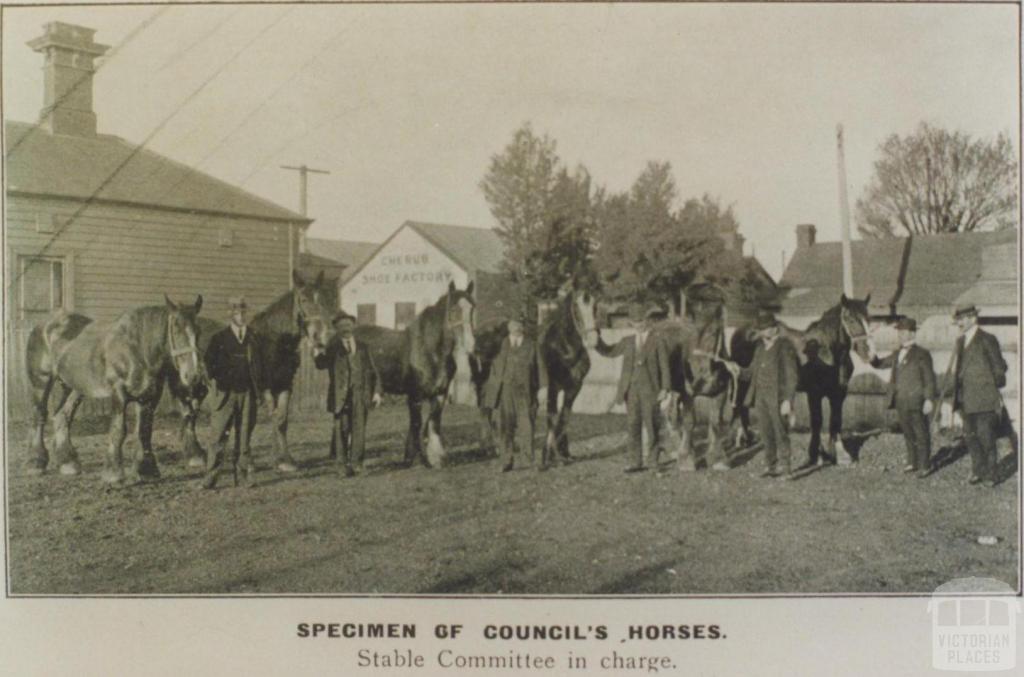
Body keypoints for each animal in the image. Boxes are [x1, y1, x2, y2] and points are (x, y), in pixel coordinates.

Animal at [25, 294, 204, 481]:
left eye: (198, 331)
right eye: (176, 329)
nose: (192, 375)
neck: (137, 349)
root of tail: (44, 325)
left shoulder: (149, 397)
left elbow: (144, 431)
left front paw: (146, 470)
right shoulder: (119, 393)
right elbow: (119, 430)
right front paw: (113, 473)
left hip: (74, 386)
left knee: (62, 416)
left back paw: (68, 463)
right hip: (41, 381)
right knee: (38, 415)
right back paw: (35, 463)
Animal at [356, 278, 475, 464]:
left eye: (473, 308)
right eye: (454, 310)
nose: (471, 345)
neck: (429, 350)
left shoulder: (440, 394)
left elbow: (433, 422)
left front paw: (436, 457)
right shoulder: (415, 395)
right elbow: (416, 423)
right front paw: (418, 458)